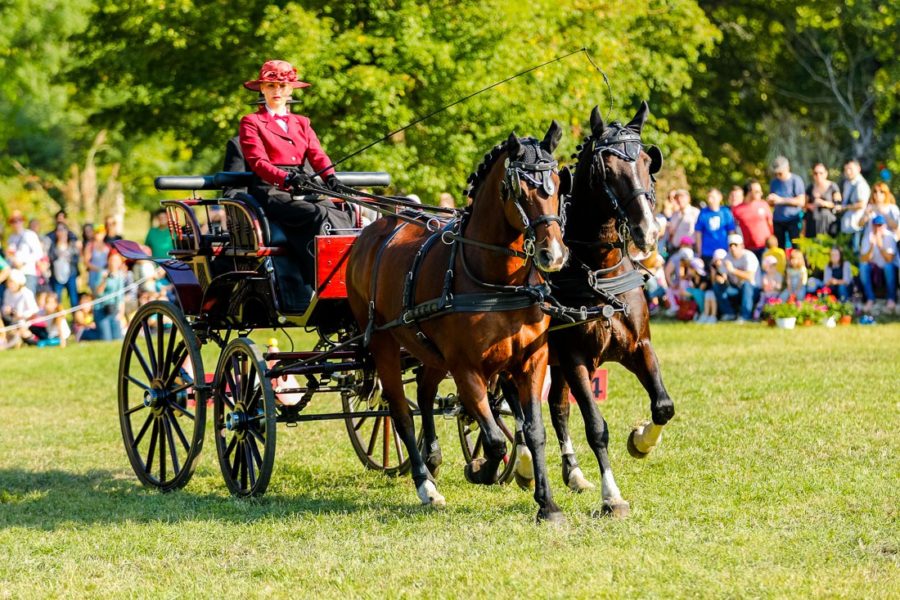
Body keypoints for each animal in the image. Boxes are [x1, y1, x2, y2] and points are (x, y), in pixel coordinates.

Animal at [344, 124, 568, 524]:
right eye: (520, 189)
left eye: (557, 183)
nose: (552, 255)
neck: (497, 282)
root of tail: (374, 228)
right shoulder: (466, 368)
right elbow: (494, 438)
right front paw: (481, 470)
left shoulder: (531, 361)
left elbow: (533, 431)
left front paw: (547, 503)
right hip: (384, 344)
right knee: (400, 411)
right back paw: (425, 484)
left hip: (429, 350)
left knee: (423, 393)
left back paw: (432, 459)